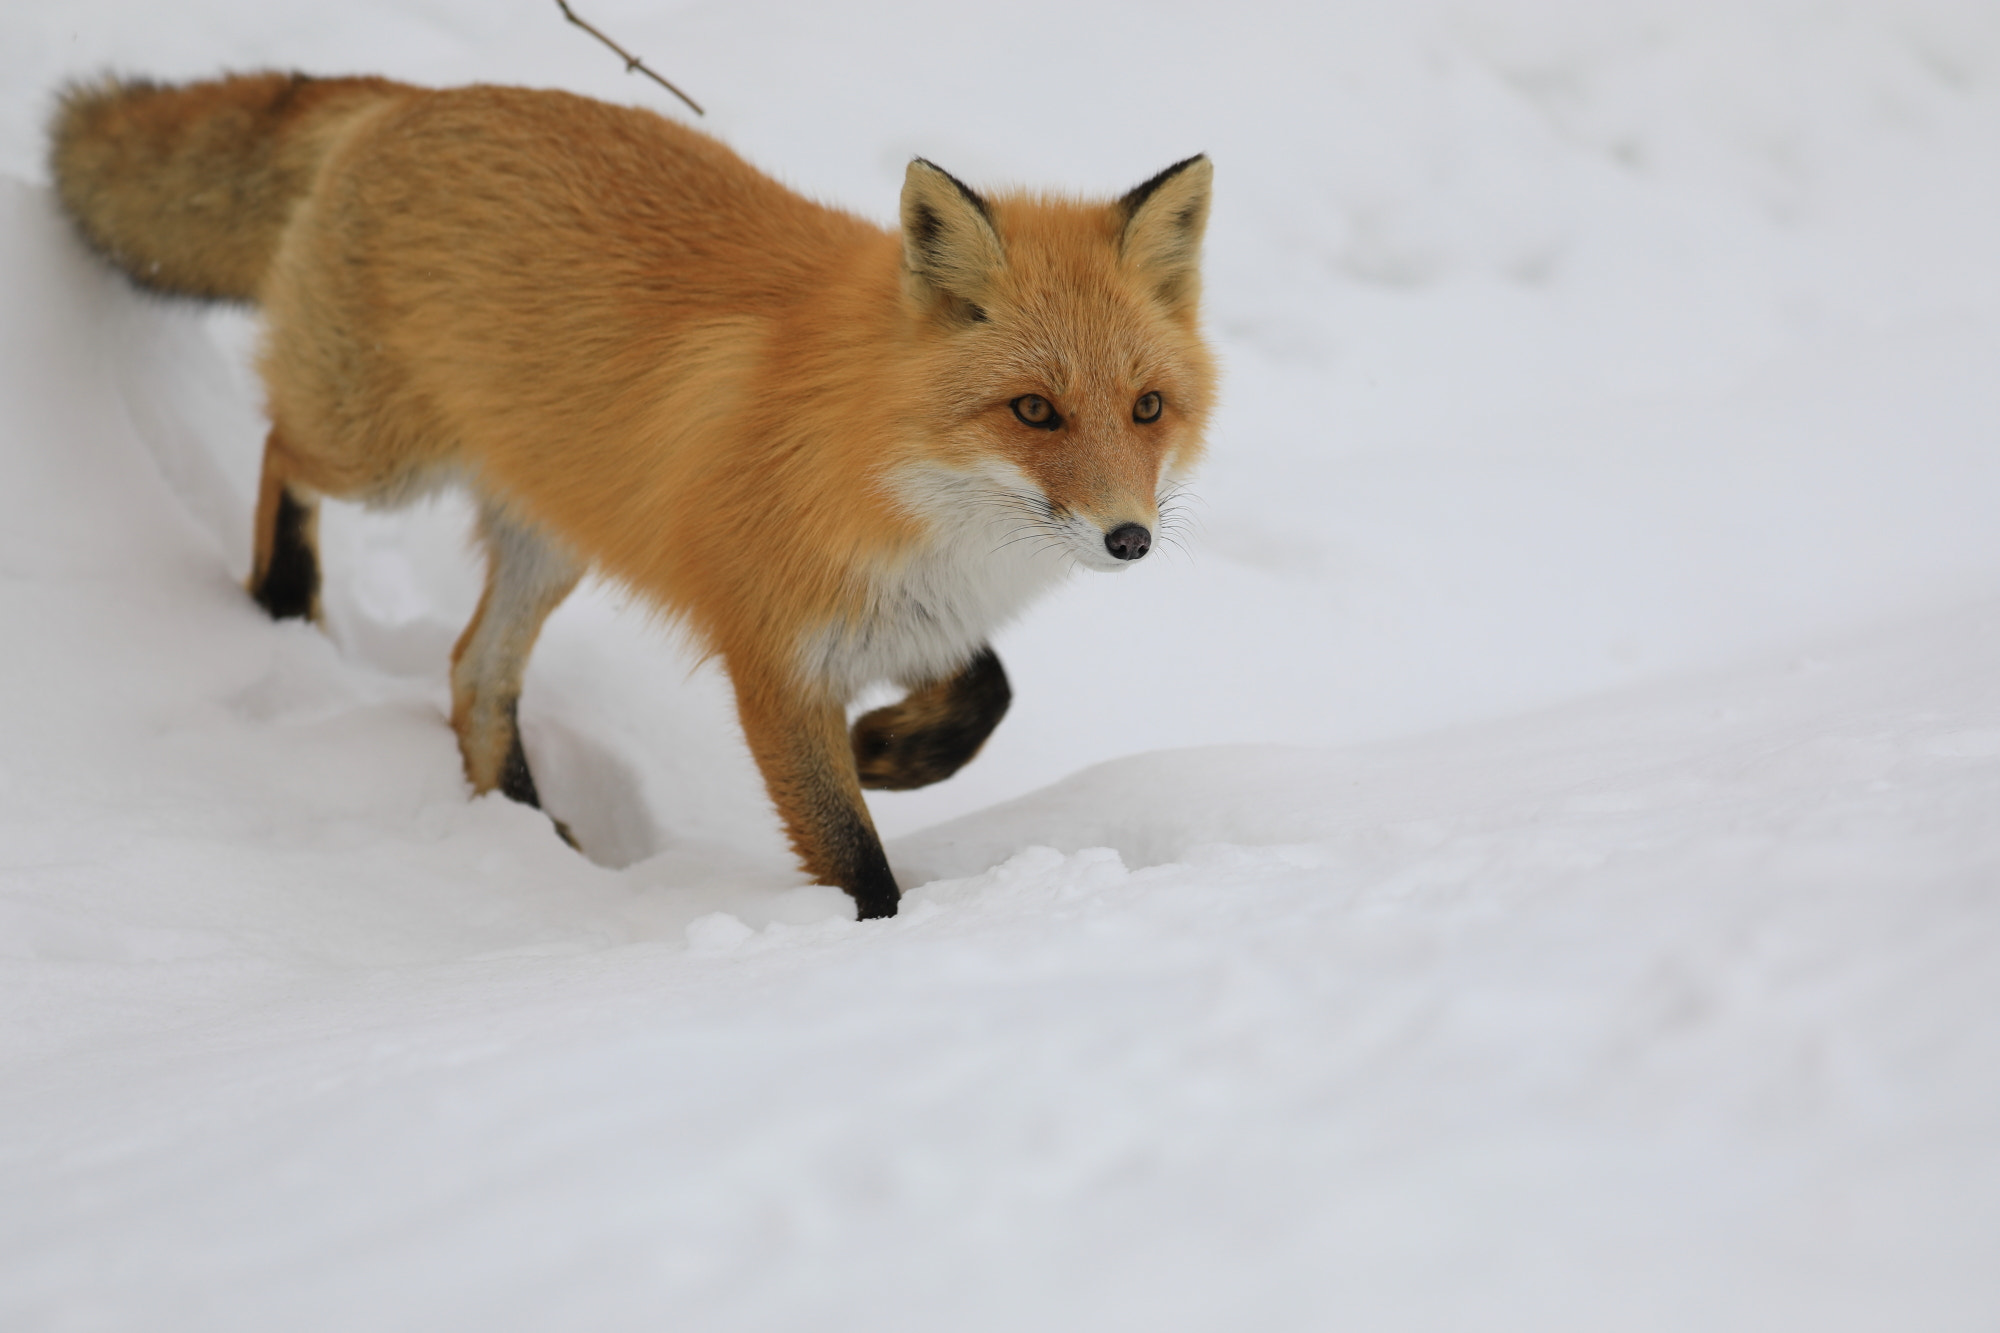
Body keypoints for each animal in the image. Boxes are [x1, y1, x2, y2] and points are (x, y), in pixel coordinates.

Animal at [48, 72, 1216, 919]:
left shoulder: (903, 613)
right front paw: (875, 934)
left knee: (473, 675)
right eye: (1034, 411)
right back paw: (283, 593)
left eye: (1147, 408)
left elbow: (989, 690)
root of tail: (414, 96)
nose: (1127, 539)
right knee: (280, 446)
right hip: (377, 456)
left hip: (550, 535)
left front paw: (890, 750)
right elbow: (852, 856)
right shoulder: (774, 661)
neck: (879, 451)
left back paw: (531, 839)